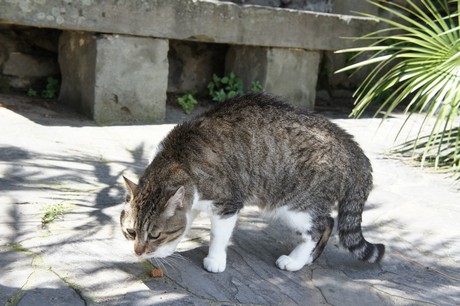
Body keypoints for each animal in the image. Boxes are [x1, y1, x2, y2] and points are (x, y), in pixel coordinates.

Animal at [121, 94, 384, 272]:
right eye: (131, 231)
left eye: (154, 235)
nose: (137, 252)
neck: (178, 159)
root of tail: (353, 146)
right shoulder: (192, 203)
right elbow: (184, 225)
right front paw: (168, 249)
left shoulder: (227, 204)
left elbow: (218, 235)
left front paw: (215, 260)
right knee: (328, 222)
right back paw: (309, 258)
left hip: (298, 206)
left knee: (318, 228)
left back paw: (295, 260)